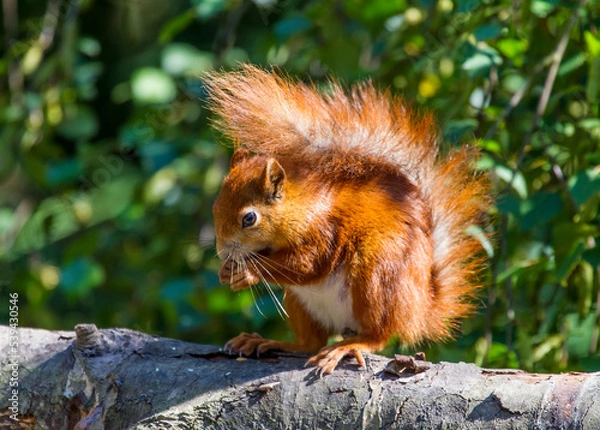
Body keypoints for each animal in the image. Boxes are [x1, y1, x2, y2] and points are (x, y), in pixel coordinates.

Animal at [204, 65, 490, 374]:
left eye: (249, 218)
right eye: (215, 207)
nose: (222, 251)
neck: (300, 208)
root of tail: (418, 310)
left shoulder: (324, 232)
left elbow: (306, 265)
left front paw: (247, 272)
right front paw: (227, 271)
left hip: (378, 272)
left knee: (378, 334)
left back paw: (347, 347)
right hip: (301, 302)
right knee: (311, 343)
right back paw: (266, 341)